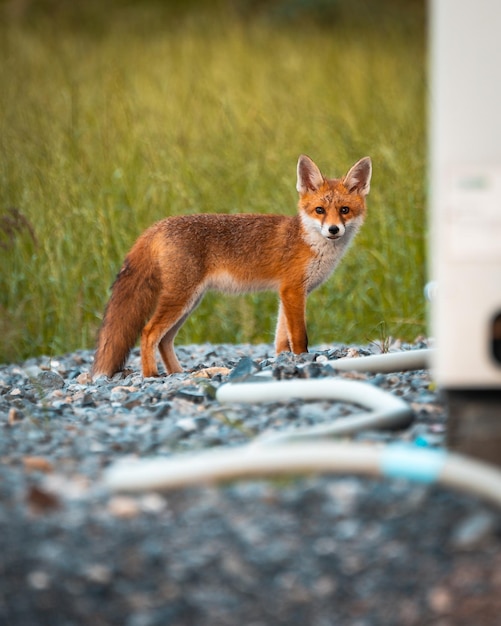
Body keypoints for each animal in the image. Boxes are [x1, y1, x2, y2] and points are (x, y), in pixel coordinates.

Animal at [91, 155, 372, 380]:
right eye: (320, 210)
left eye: (344, 210)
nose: (333, 230)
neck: (310, 241)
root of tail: (158, 225)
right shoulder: (292, 290)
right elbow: (299, 336)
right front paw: (302, 360)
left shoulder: (288, 293)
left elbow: (281, 338)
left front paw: (283, 361)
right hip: (181, 299)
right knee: (149, 333)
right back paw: (151, 375)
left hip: (189, 302)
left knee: (164, 340)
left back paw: (177, 373)